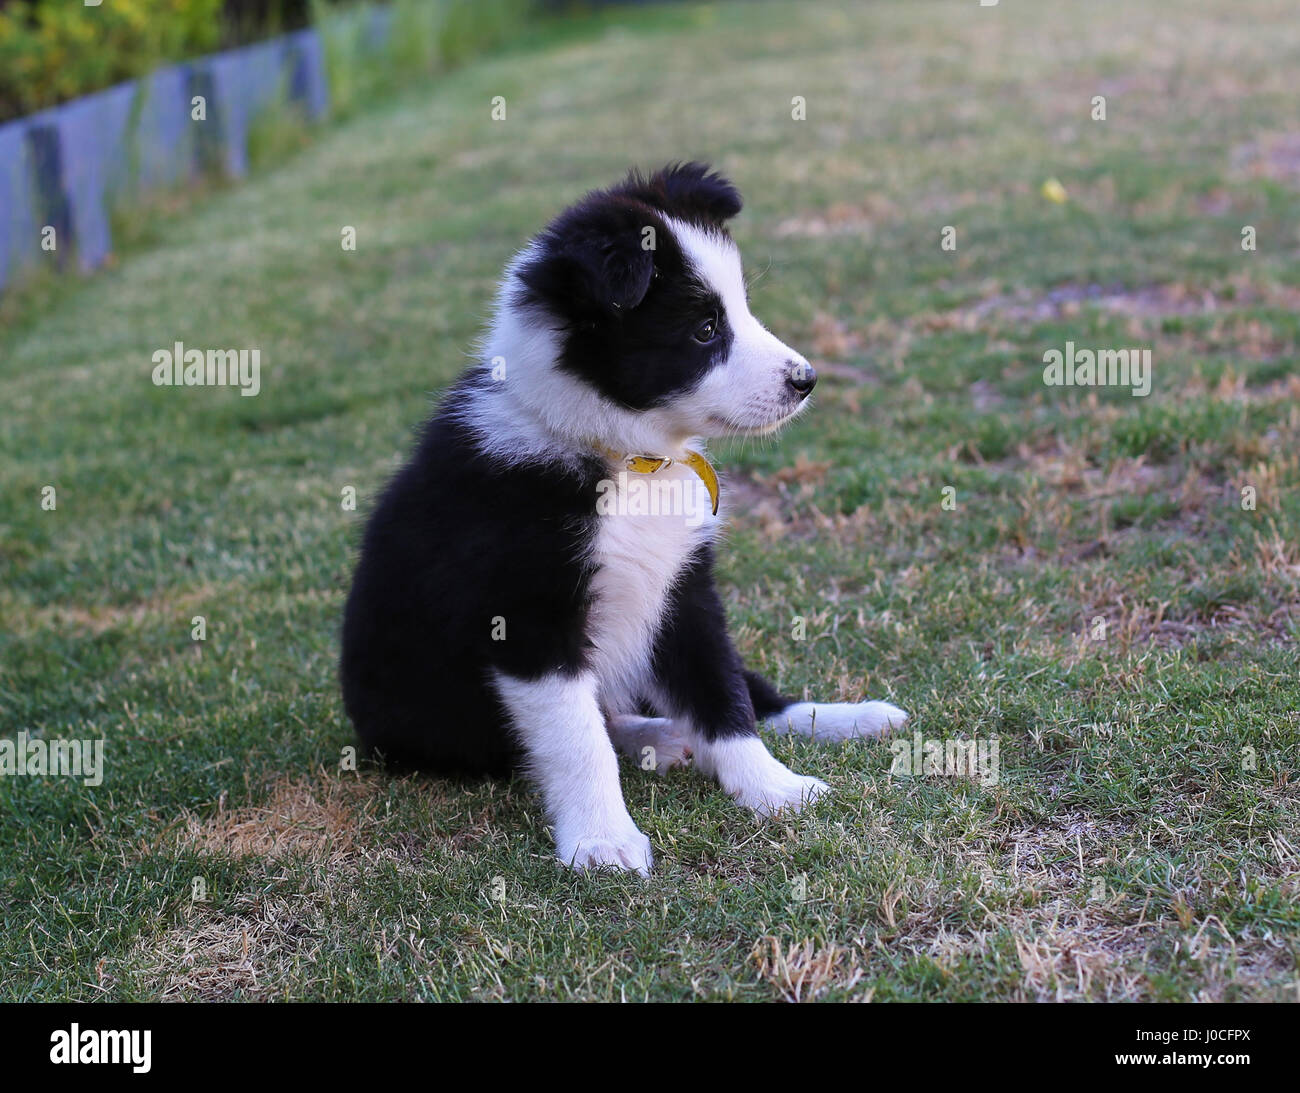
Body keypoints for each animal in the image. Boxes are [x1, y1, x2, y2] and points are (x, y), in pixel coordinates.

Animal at [343, 161, 904, 873]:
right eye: (704, 330)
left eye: (743, 308)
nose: (805, 380)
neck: (629, 457)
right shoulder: (529, 617)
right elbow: (577, 739)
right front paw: (603, 842)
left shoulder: (683, 587)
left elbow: (724, 696)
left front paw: (772, 788)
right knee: (594, 724)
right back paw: (656, 738)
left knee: (753, 697)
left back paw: (849, 718)